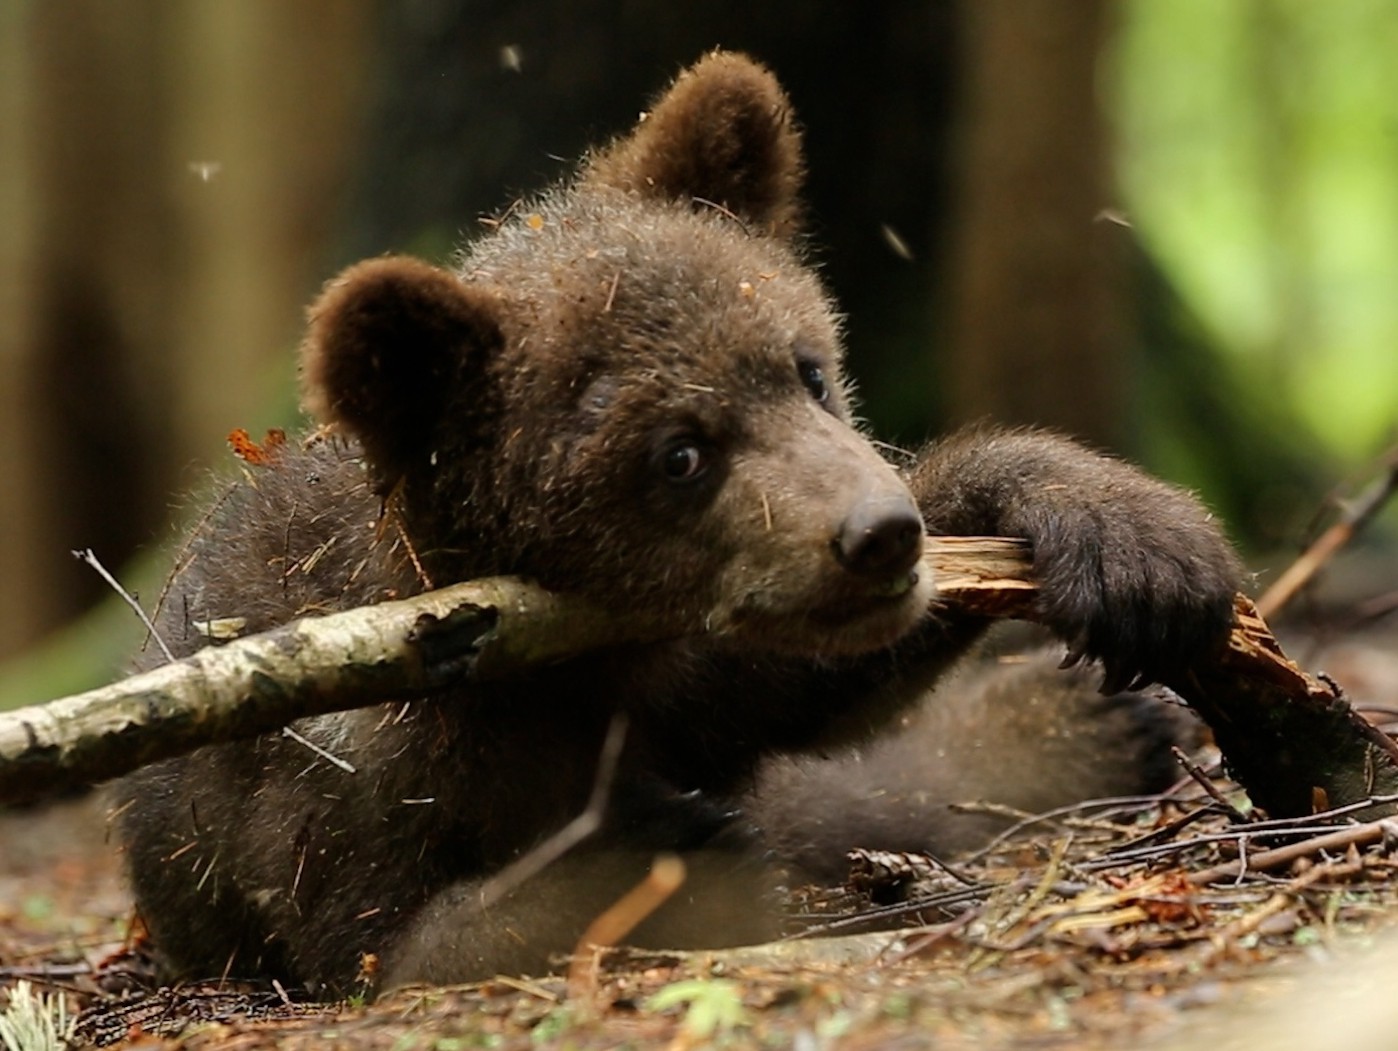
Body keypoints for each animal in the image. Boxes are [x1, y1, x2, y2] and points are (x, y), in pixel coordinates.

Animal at [114, 51, 1241, 995]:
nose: (879, 533)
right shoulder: (340, 791)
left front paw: (1127, 538)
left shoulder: (678, 682)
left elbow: (782, 690)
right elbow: (393, 940)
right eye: (678, 452)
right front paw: (664, 850)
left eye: (809, 370)